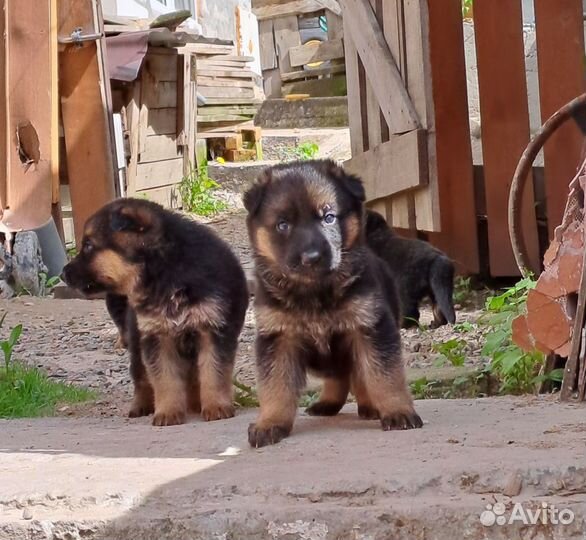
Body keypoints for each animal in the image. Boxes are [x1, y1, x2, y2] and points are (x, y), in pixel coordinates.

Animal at [61, 198, 246, 426]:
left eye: (88, 246)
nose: (62, 274)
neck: (164, 268)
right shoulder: (157, 336)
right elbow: (164, 378)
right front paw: (167, 412)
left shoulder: (213, 330)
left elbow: (214, 372)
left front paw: (216, 406)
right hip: (136, 342)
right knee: (141, 378)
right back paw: (140, 406)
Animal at [242, 159, 420, 448]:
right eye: (283, 224)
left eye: (329, 217)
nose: (311, 257)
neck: (314, 291)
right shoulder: (278, 338)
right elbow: (275, 386)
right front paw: (269, 423)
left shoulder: (370, 327)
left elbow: (384, 375)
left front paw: (397, 410)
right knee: (338, 377)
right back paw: (327, 402)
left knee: (359, 374)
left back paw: (370, 405)